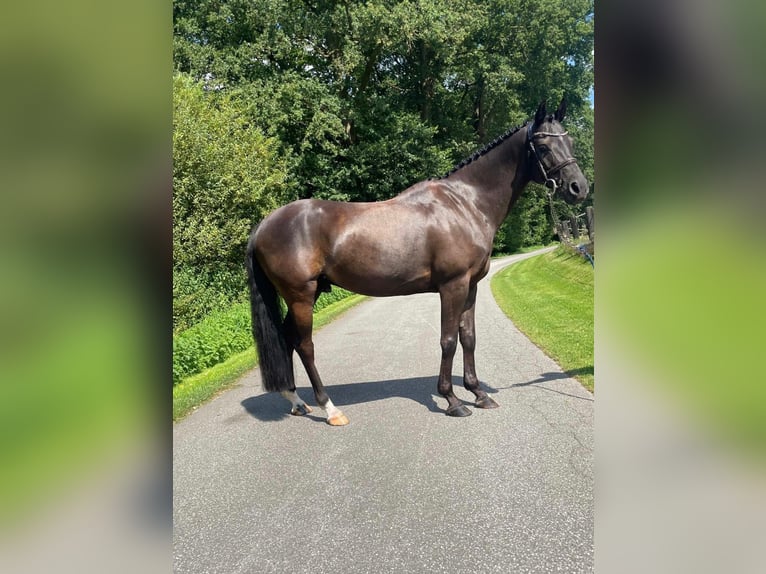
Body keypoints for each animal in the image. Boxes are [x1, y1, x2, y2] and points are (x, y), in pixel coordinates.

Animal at [246, 97, 588, 426]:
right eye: (543, 146)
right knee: (305, 345)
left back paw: (296, 401)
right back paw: (330, 409)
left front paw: (478, 394)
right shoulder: (452, 286)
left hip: (310, 292)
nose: (579, 188)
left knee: (288, 338)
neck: (465, 204)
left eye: (570, 142)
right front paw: (452, 400)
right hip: (301, 295)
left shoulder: (471, 286)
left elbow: (469, 338)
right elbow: (448, 340)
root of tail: (263, 226)